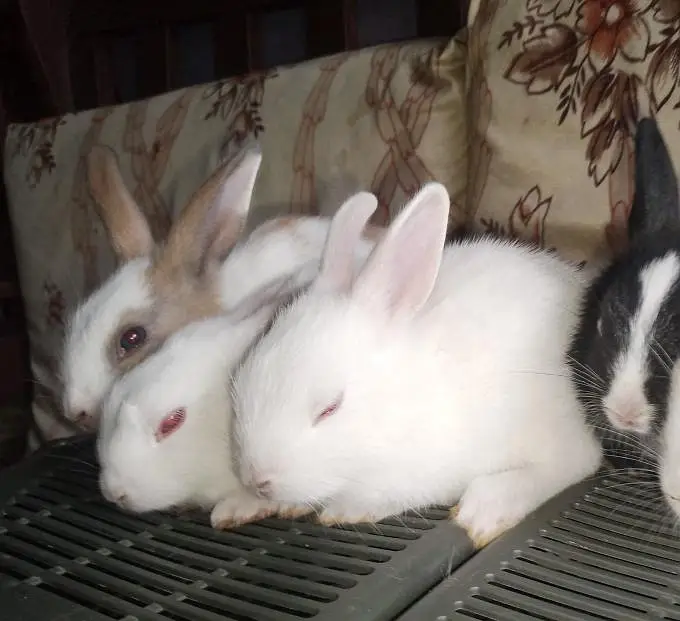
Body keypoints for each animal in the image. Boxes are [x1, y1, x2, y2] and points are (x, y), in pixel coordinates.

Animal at [230, 181, 602, 549]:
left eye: (329, 408)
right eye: (242, 375)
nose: (255, 480)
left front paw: (346, 510)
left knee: (577, 462)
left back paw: (485, 509)